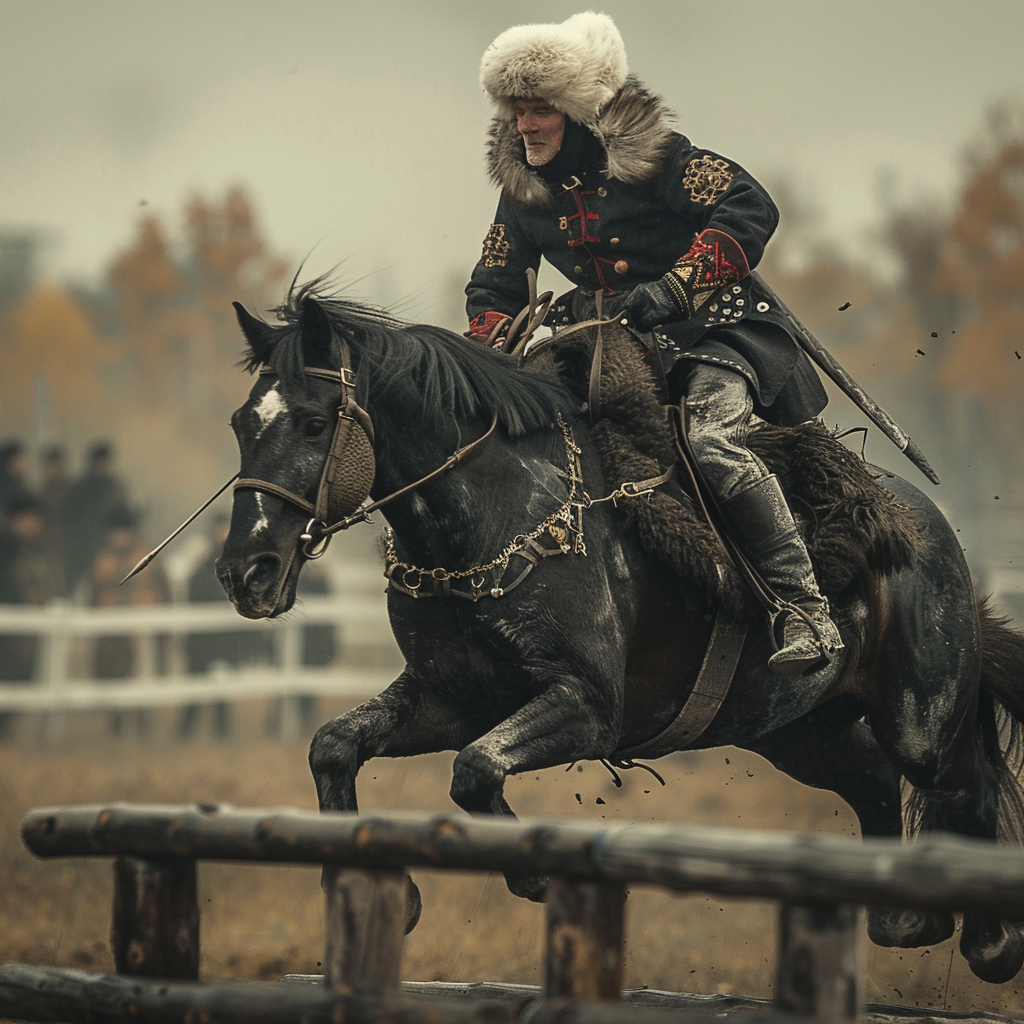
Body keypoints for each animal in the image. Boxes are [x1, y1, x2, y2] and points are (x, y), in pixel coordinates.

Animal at [220, 284, 1024, 987]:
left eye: (315, 422)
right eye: (240, 425)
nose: (244, 571)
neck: (493, 512)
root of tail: (927, 529)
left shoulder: (586, 707)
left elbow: (475, 768)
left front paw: (534, 873)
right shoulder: (451, 698)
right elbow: (336, 745)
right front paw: (391, 889)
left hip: (921, 723)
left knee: (968, 787)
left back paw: (990, 939)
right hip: (796, 731)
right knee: (874, 779)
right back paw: (902, 917)